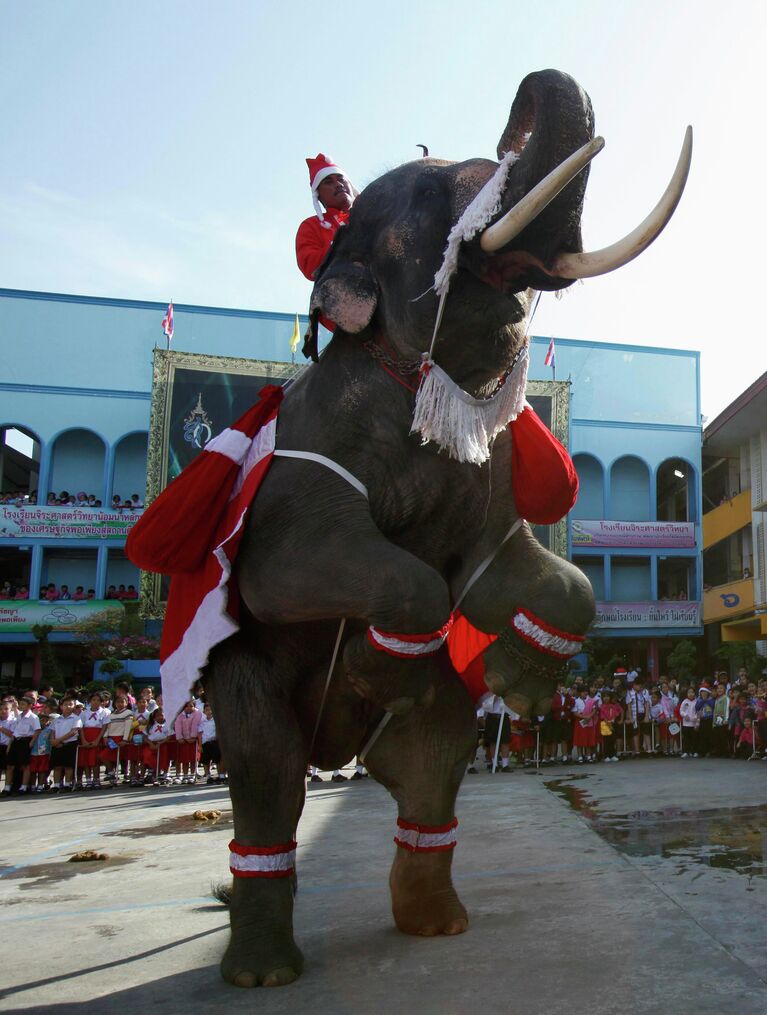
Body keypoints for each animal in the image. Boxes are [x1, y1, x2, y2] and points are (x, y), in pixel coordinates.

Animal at [170, 69, 693, 982]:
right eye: (438, 190)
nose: (534, 80)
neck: (423, 382)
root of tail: (338, 755)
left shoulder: (489, 480)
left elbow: (529, 574)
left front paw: (519, 682)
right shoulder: (299, 472)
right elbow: (298, 572)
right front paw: (377, 667)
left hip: (428, 736)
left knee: (430, 769)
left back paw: (436, 921)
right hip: (247, 683)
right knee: (267, 779)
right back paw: (265, 968)